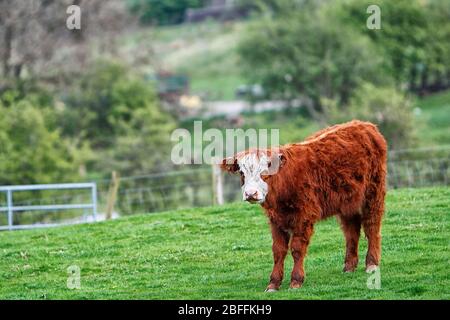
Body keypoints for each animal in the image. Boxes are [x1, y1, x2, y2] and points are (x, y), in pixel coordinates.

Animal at [221, 120, 386, 290]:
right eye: (242, 173)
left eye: (266, 172)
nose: (251, 194)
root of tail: (363, 124)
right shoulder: (276, 220)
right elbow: (278, 250)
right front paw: (273, 283)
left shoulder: (304, 217)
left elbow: (297, 248)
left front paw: (296, 280)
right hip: (348, 203)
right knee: (351, 232)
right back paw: (349, 266)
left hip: (373, 194)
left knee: (372, 226)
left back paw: (372, 264)